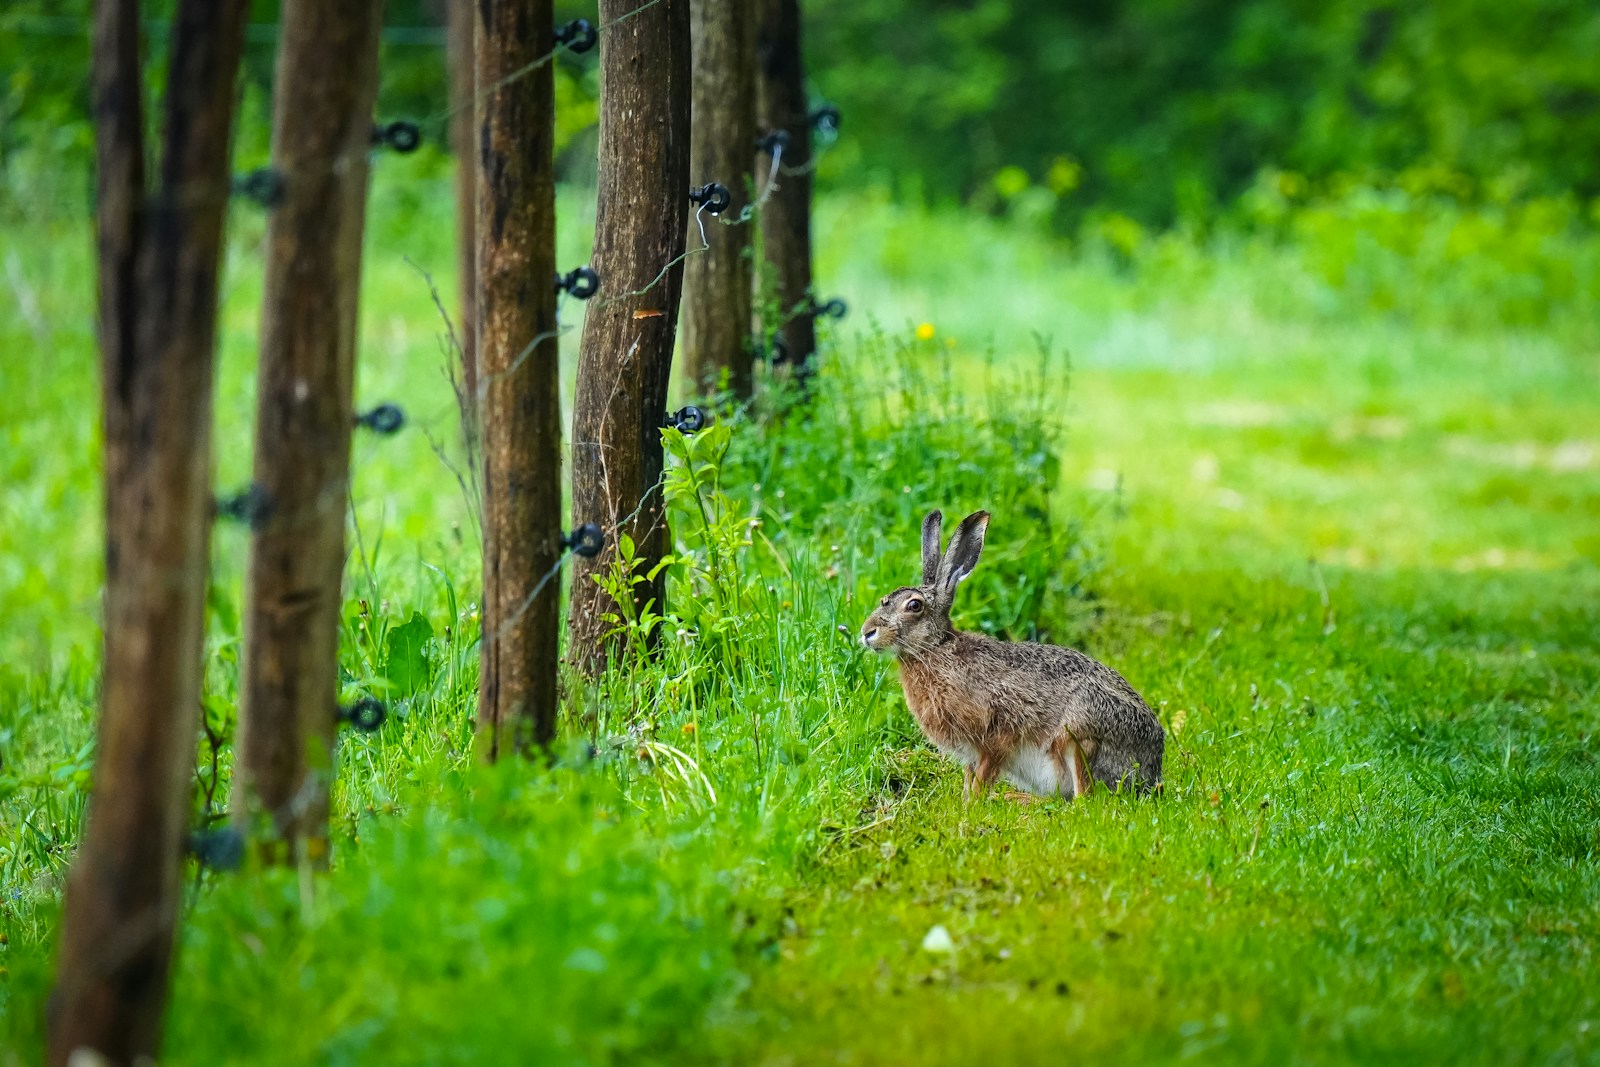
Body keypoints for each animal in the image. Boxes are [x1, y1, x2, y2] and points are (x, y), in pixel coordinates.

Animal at [861, 509, 1164, 801]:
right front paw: (965, 804)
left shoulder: (996, 736)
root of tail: (1152, 773)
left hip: (1080, 734)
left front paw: (975, 806)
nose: (867, 632)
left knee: (1084, 800)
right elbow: (969, 779)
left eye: (914, 606)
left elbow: (983, 777)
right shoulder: (971, 754)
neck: (935, 648)